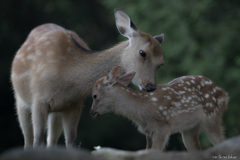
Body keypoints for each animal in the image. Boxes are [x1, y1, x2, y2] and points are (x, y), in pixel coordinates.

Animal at [11, 9, 165, 149]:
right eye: (142, 52)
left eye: (161, 63)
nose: (151, 86)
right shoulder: (39, 99)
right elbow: (37, 141)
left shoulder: (74, 104)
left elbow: (71, 143)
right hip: (20, 100)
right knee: (28, 139)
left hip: (56, 112)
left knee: (51, 141)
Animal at [90, 66, 229, 151]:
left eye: (94, 95)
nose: (91, 112)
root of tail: (224, 94)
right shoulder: (148, 131)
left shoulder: (162, 126)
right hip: (189, 128)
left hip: (212, 116)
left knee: (222, 142)